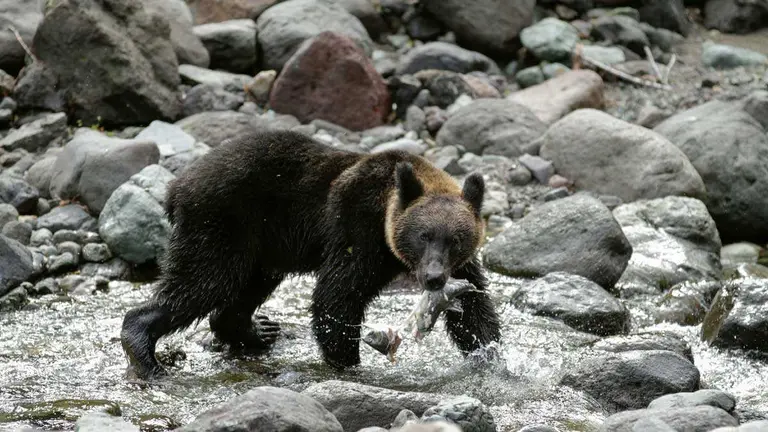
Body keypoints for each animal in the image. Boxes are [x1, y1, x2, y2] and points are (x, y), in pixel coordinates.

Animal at [120, 129, 502, 379]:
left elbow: (474, 309)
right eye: (423, 236)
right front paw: (349, 363)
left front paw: (490, 357)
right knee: (203, 282)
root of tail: (176, 186)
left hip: (262, 246)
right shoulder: (358, 228)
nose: (434, 278)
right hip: (223, 222)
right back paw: (145, 353)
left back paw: (259, 330)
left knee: (243, 289)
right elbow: (337, 295)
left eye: (456, 239)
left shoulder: (461, 267)